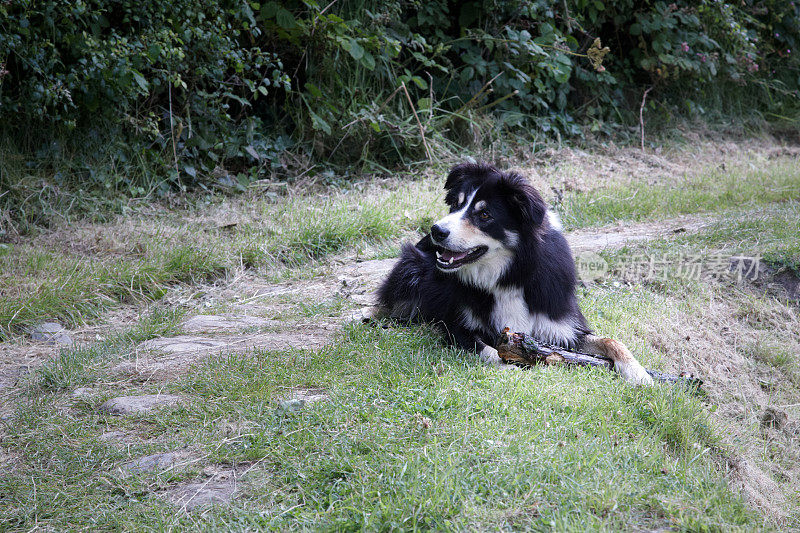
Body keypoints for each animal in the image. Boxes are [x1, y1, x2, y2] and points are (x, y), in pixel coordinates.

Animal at [378, 160, 652, 384]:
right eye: (456, 205)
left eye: (484, 214)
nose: (436, 231)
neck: (509, 275)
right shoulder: (457, 327)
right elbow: (489, 351)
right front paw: (510, 368)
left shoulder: (559, 326)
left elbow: (610, 340)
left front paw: (638, 373)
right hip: (411, 268)